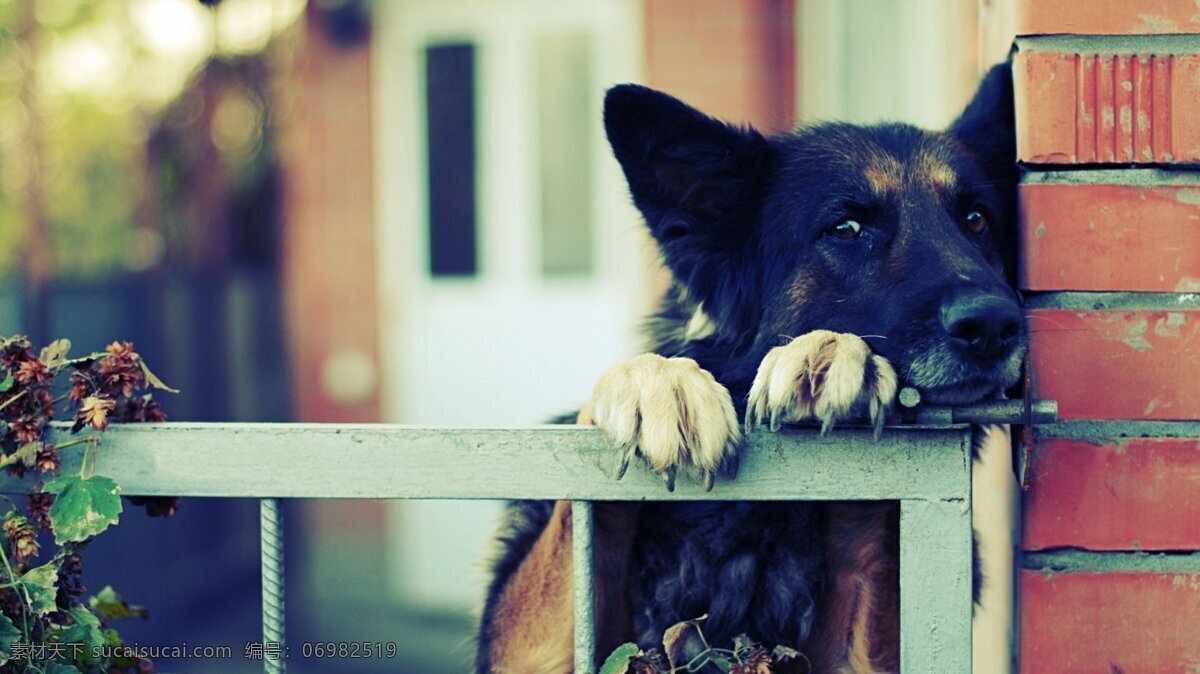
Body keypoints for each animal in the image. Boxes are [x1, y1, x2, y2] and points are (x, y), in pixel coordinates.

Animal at [477, 62, 1022, 671]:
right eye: (846, 228)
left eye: (976, 220)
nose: (994, 325)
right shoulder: (535, 646)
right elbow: (585, 519)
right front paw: (656, 383)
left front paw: (835, 356)